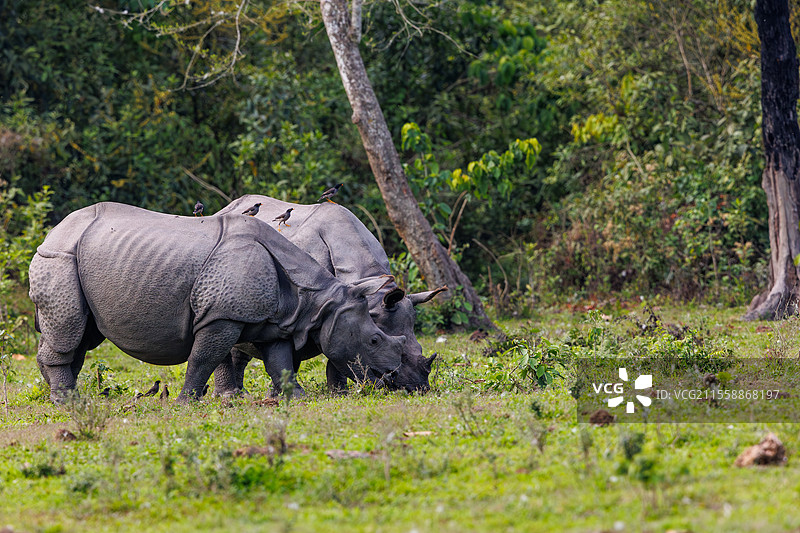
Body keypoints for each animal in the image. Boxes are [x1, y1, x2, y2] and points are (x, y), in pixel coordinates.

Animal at [28, 202, 414, 403]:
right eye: (374, 339)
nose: (396, 380)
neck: (318, 302)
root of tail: (50, 233)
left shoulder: (277, 321)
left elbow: (280, 362)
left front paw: (298, 397)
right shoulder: (220, 316)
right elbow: (202, 357)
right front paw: (186, 401)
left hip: (74, 257)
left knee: (82, 335)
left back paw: (60, 393)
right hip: (59, 257)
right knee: (69, 330)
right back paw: (67, 400)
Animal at [212, 195, 446, 396]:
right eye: (402, 357)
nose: (418, 388)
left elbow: (338, 351)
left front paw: (338, 393)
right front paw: (280, 393)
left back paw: (241, 394)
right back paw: (230, 396)